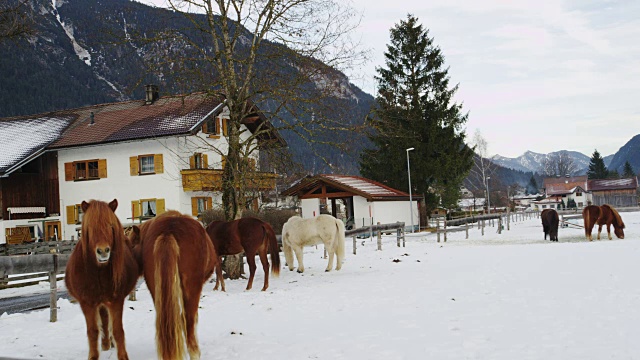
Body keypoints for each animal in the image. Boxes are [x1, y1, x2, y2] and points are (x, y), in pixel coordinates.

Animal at [65, 200, 139, 360]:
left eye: (110, 226)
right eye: (90, 227)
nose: (103, 251)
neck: (98, 272)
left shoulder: (116, 301)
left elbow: (117, 330)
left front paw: (122, 356)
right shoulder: (87, 303)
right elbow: (92, 331)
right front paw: (93, 356)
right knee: (104, 321)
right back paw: (105, 344)